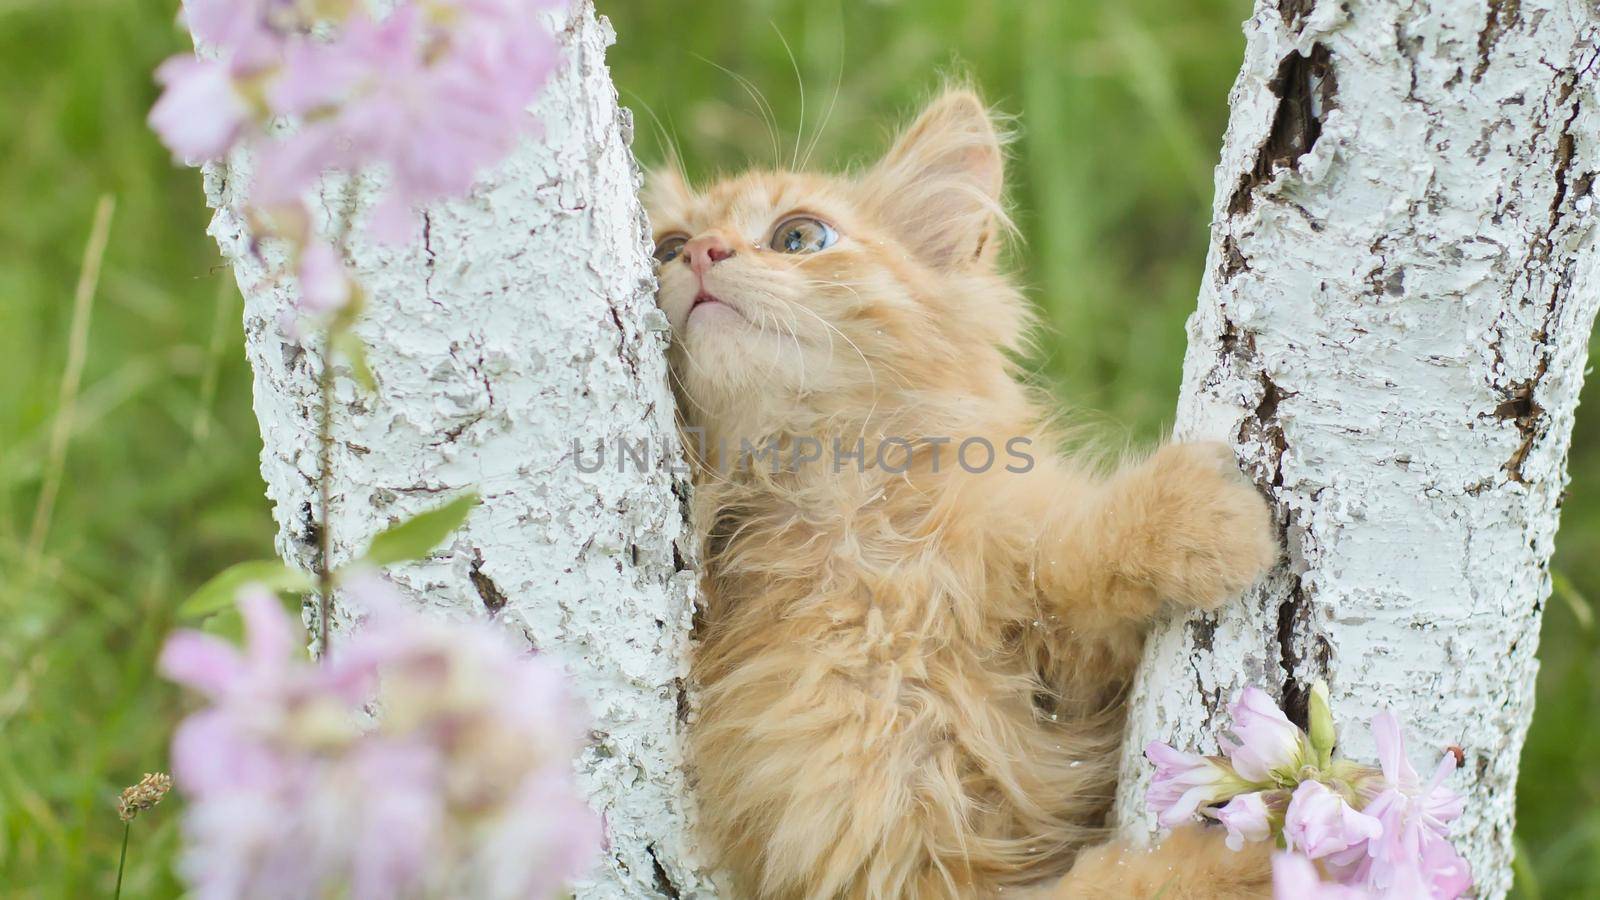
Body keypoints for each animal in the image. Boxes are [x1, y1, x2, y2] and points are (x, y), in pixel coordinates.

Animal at [643, 85, 1280, 896]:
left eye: (798, 237)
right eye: (666, 247)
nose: (701, 253)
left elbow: (1060, 557)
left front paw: (1189, 518)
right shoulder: (880, 850)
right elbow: (1125, 882)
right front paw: (1259, 853)